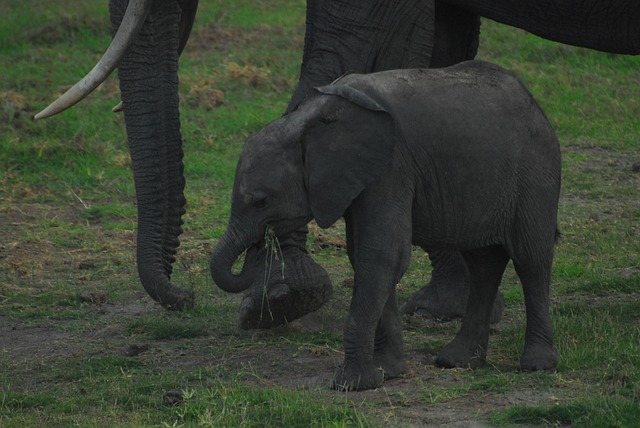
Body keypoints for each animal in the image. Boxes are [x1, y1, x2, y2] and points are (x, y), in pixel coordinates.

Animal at [211, 59, 560, 392]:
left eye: (260, 201)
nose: (258, 243)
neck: (307, 121)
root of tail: (535, 103)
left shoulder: (390, 167)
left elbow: (382, 256)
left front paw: (352, 384)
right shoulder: (360, 177)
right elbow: (367, 257)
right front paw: (387, 372)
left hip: (535, 171)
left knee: (531, 260)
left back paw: (536, 365)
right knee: (484, 265)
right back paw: (456, 362)